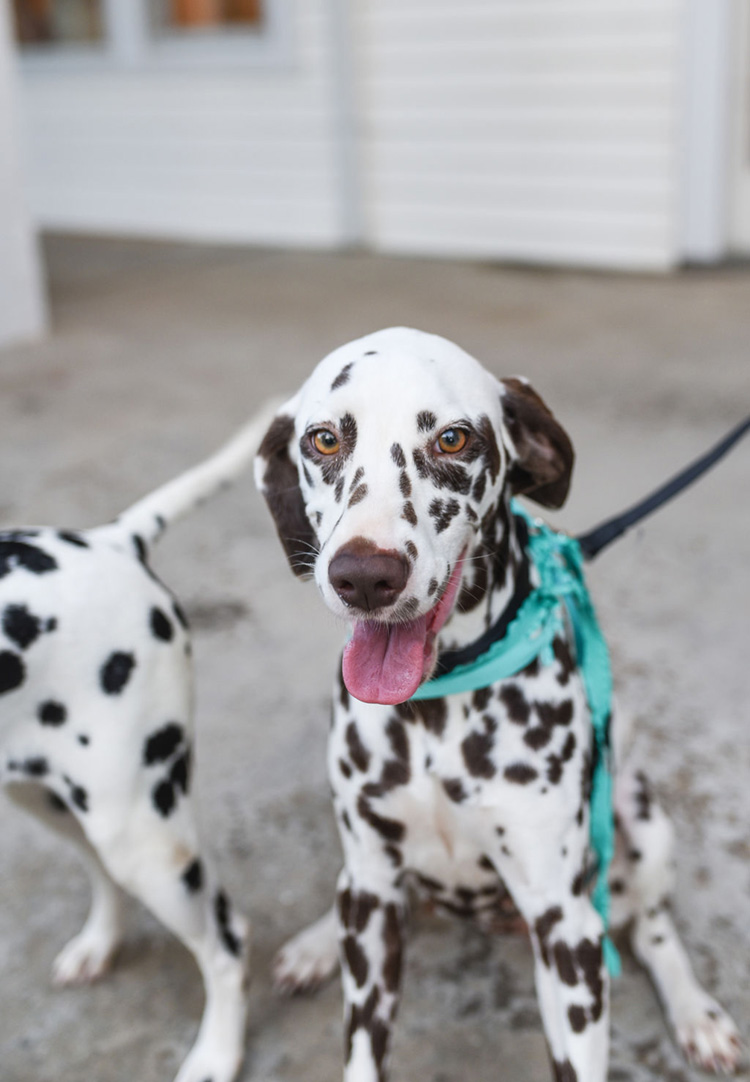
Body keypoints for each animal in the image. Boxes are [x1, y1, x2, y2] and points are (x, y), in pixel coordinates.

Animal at [0, 404, 277, 1082]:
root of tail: (111, 541)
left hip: (144, 834)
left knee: (227, 943)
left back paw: (216, 1055)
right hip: (56, 801)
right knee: (102, 872)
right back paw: (99, 944)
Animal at [254, 324, 740, 1077]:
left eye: (453, 440)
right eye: (325, 440)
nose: (363, 576)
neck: (435, 713)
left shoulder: (568, 930)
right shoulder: (372, 902)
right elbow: (362, 1044)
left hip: (646, 823)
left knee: (653, 929)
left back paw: (697, 1014)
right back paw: (313, 944)